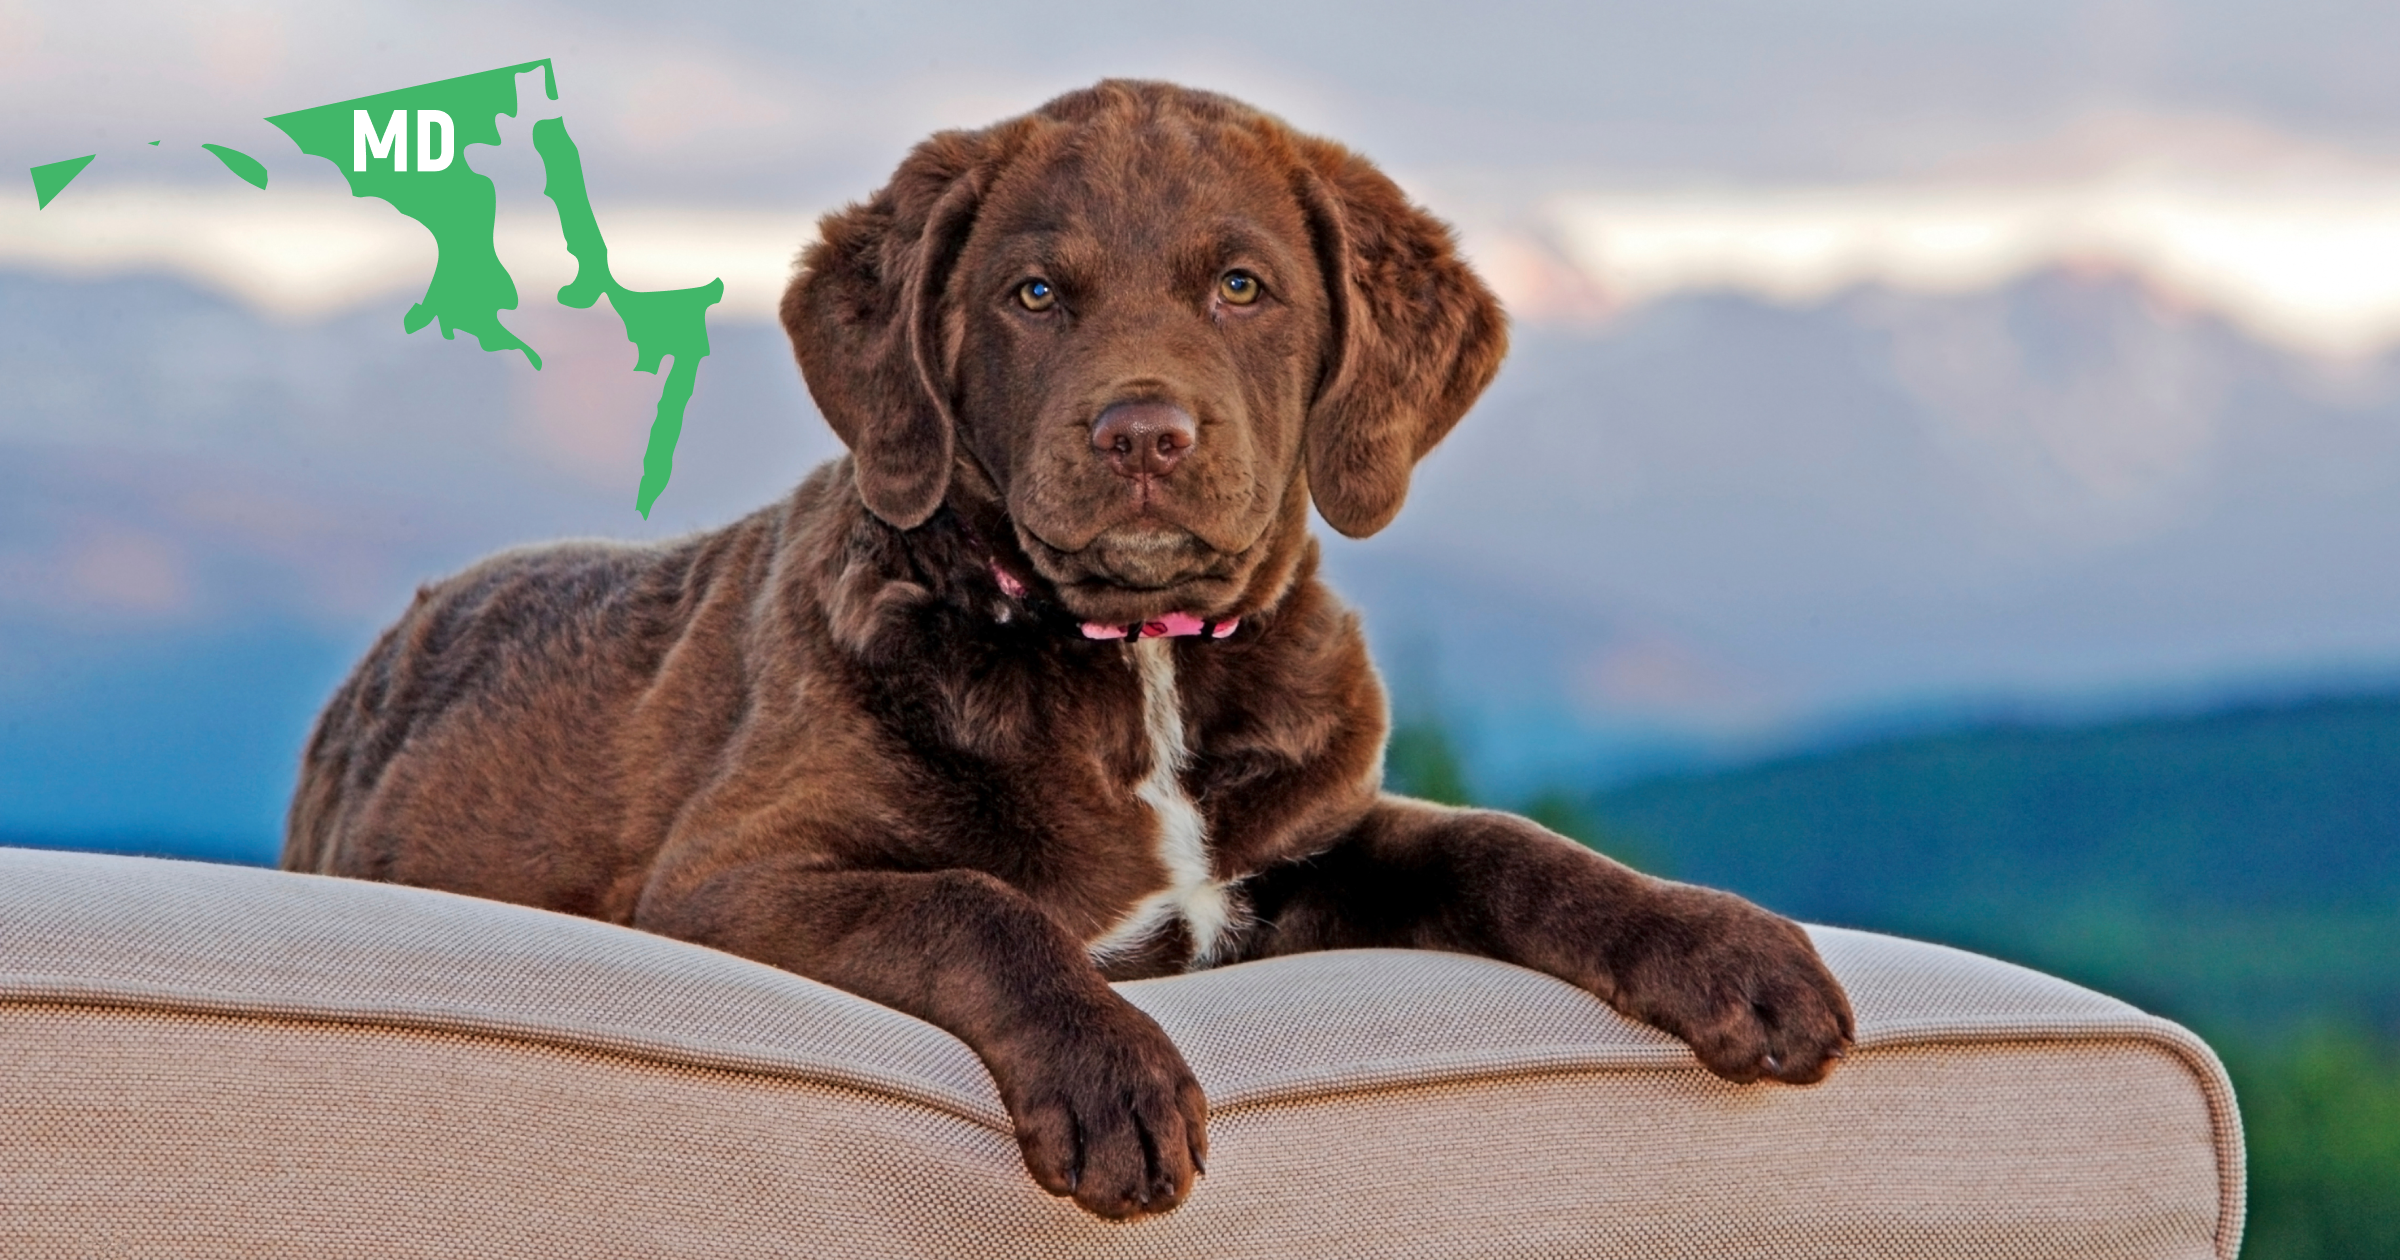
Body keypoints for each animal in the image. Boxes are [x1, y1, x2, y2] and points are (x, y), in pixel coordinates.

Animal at [285, 78, 1852, 1219]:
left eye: (1242, 288)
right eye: (1036, 295)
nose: (1144, 435)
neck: (1137, 667)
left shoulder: (1305, 850)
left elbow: (1505, 844)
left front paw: (1728, 949)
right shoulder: (731, 881)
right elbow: (978, 903)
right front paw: (1116, 1081)